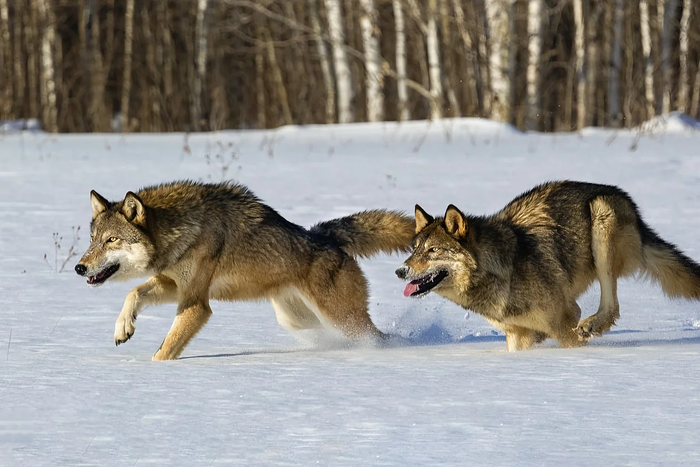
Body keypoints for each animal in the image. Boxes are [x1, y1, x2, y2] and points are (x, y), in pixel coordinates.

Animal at [75, 181, 416, 360]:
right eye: (92, 240)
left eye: (111, 240)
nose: (79, 268)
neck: (181, 230)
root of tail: (325, 236)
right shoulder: (174, 285)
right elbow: (133, 293)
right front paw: (123, 328)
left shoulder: (196, 304)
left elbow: (165, 348)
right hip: (297, 320)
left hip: (341, 319)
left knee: (376, 336)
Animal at [396, 182, 700, 352]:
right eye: (415, 249)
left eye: (433, 251)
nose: (400, 271)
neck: (500, 273)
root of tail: (627, 200)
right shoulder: (517, 335)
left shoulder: (564, 317)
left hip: (601, 219)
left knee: (612, 306)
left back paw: (592, 324)